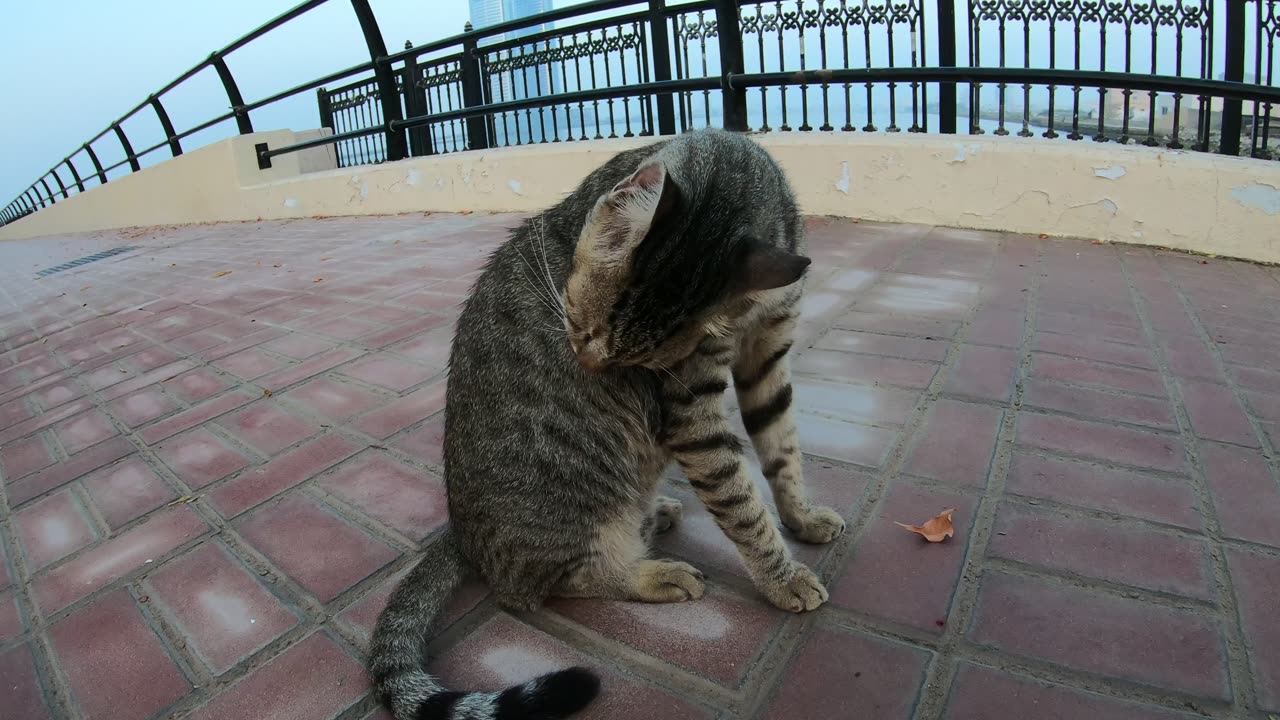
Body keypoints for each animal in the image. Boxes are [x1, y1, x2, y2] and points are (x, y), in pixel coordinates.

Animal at [371, 128, 844, 717]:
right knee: (537, 584)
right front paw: (782, 578)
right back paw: (654, 574)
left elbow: (783, 452)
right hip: (578, 499)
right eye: (578, 324)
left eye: (641, 360)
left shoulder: (769, 354)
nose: (591, 366)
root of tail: (460, 531)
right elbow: (738, 500)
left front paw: (801, 517)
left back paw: (656, 513)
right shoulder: (690, 407)